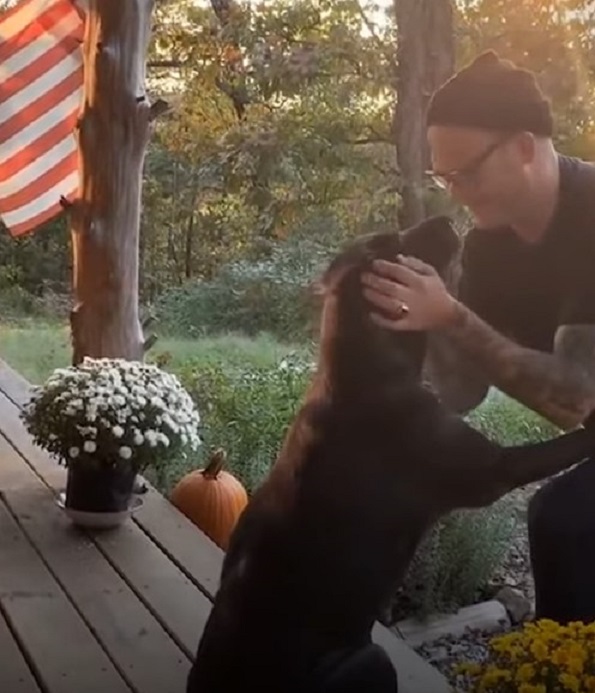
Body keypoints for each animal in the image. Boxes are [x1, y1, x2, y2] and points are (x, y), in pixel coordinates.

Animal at [186, 216, 595, 692]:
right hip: (369, 660)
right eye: (389, 244)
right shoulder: (495, 469)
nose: (445, 217)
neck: (367, 363)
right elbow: (563, 446)